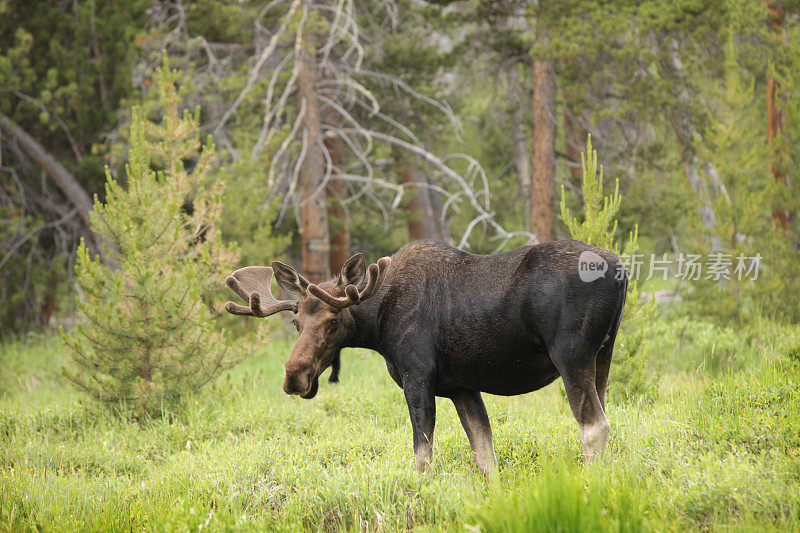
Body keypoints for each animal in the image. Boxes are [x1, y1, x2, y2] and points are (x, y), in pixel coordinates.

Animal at [223, 240, 624, 474]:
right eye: (295, 321)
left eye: (334, 320)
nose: (295, 376)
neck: (378, 324)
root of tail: (621, 271)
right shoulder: (462, 387)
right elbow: (485, 456)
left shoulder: (417, 375)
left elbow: (421, 456)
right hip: (602, 357)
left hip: (571, 356)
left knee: (595, 426)